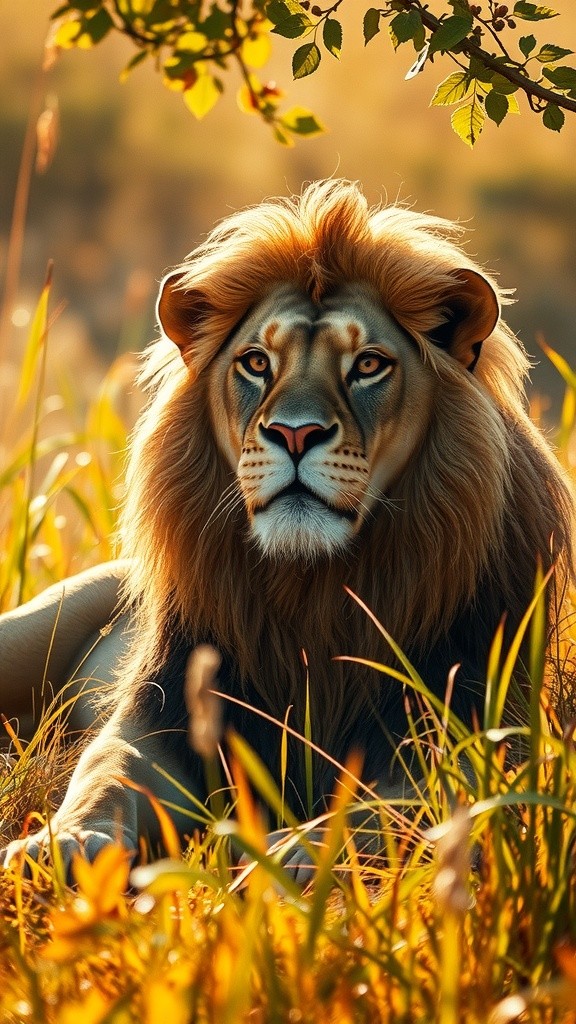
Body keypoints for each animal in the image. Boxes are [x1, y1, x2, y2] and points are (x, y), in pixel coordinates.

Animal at [0, 179, 573, 875]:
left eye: (369, 365)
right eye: (255, 362)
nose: (294, 433)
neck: (313, 586)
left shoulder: (455, 735)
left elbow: (377, 811)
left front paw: (290, 857)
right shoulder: (160, 715)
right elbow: (104, 775)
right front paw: (64, 842)